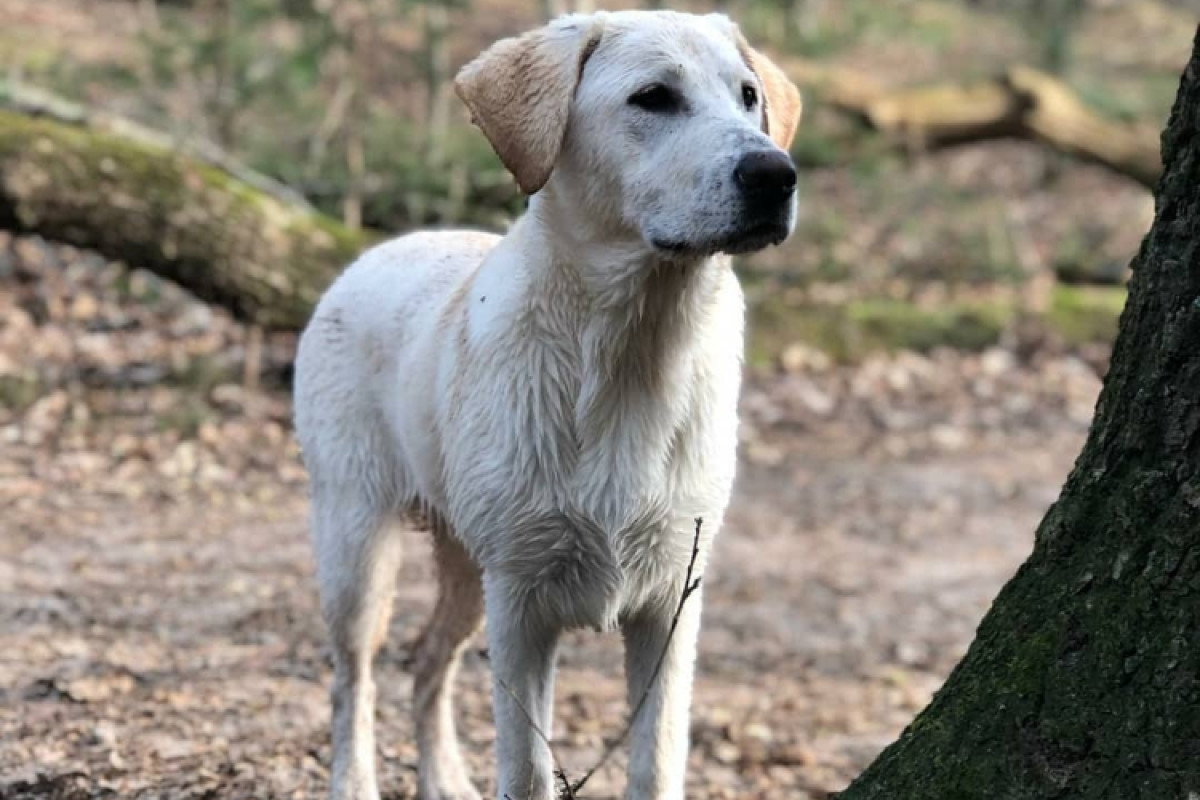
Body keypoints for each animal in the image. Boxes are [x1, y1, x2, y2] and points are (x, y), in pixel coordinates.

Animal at [291, 10, 801, 800]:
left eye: (748, 96)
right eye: (653, 98)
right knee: (355, 679)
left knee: (427, 662)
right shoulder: (523, 605)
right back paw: (353, 782)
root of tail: (372, 253)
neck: (633, 351)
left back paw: (444, 779)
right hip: (357, 544)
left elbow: (657, 762)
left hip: (467, 567)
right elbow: (528, 769)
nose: (776, 174)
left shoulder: (671, 603)